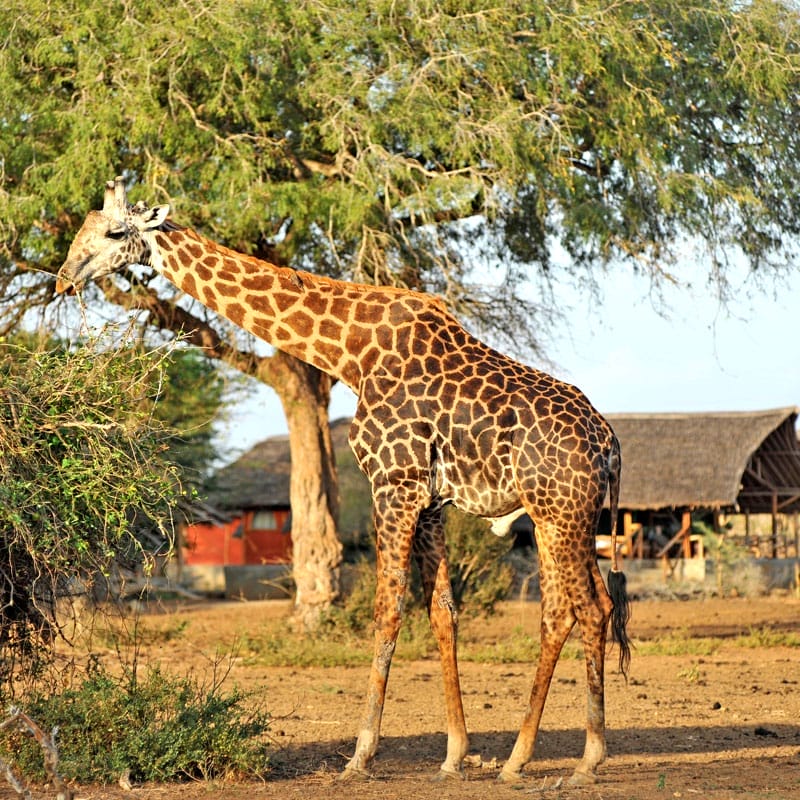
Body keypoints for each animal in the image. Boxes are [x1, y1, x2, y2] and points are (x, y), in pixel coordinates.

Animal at [57, 177, 630, 785]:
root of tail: (610, 445)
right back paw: (519, 758)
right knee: (562, 611)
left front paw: (360, 754)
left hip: (562, 513)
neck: (350, 352)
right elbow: (442, 611)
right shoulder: (430, 498)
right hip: (554, 517)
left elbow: (386, 609)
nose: (63, 277)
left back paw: (589, 758)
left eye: (113, 233)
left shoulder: (394, 482)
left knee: (590, 608)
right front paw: (454, 754)